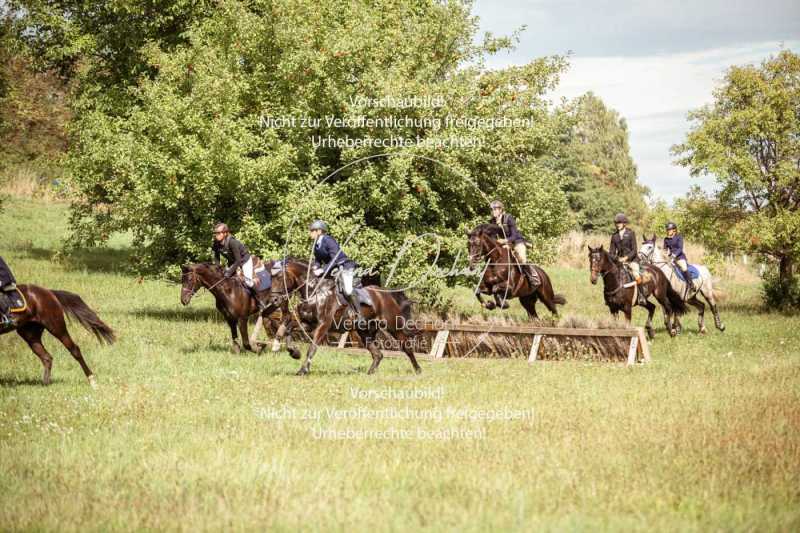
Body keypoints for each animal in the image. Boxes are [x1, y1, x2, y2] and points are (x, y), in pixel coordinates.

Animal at [268, 258, 422, 376]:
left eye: (280, 278)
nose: (274, 300)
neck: (315, 291)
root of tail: (384, 294)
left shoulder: (323, 325)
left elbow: (312, 348)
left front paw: (303, 370)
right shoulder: (308, 323)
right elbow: (288, 329)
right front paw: (294, 352)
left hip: (393, 327)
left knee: (406, 347)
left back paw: (418, 370)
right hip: (364, 332)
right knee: (378, 354)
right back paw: (369, 373)